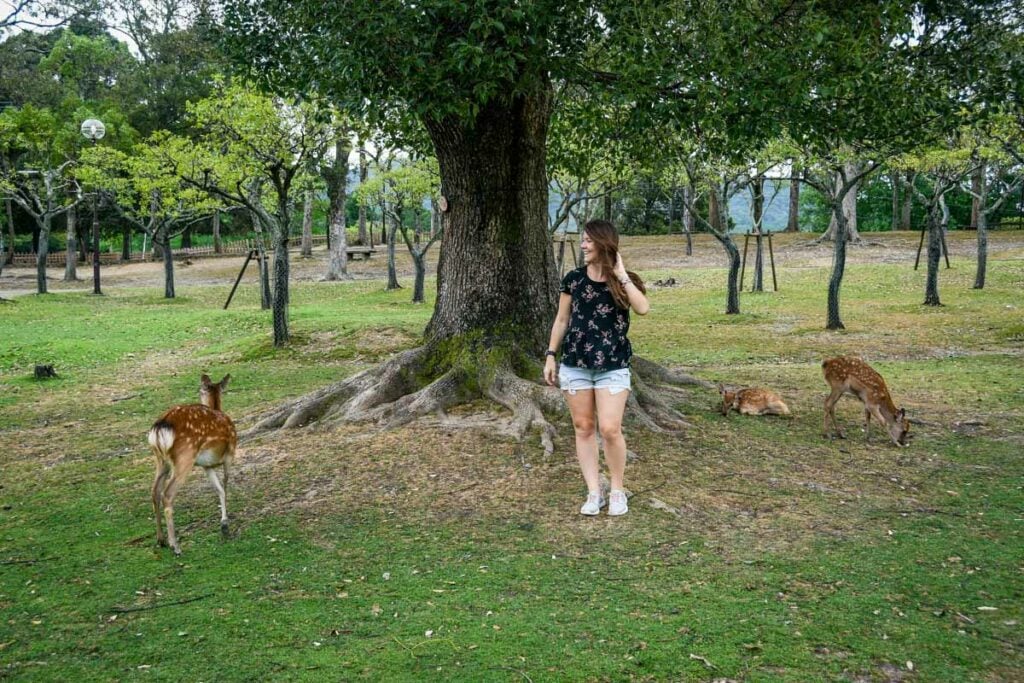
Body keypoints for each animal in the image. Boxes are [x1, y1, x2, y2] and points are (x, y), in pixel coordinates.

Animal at [148, 374, 237, 557]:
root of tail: (159, 428)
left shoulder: (206, 465)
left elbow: (219, 489)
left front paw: (223, 524)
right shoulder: (230, 454)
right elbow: (225, 486)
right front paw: (225, 525)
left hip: (160, 459)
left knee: (154, 491)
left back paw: (161, 540)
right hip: (185, 457)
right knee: (167, 494)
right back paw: (175, 546)